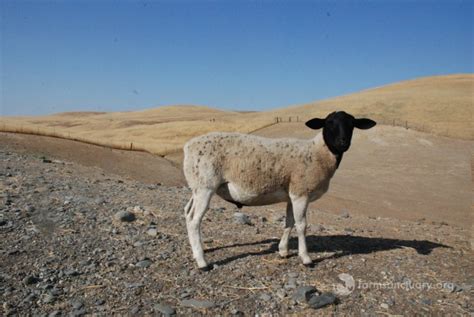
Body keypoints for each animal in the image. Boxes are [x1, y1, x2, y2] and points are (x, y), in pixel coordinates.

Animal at [183, 111, 376, 270]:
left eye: (352, 124)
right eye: (329, 123)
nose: (343, 142)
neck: (318, 153)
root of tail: (188, 146)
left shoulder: (291, 195)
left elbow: (289, 222)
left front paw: (283, 251)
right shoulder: (300, 193)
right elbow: (301, 225)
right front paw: (306, 258)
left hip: (196, 187)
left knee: (187, 212)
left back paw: (195, 252)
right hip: (205, 186)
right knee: (194, 220)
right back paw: (202, 262)